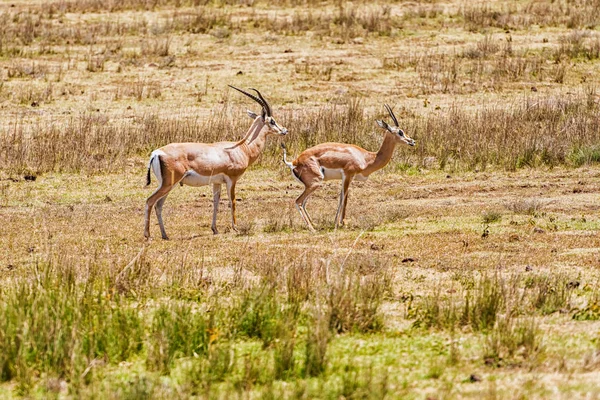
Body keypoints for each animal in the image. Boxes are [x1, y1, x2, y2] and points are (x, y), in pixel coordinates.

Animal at [144, 86, 288, 239]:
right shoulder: (232, 179)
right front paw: (236, 228)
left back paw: (165, 235)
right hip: (169, 184)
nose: (284, 130)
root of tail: (156, 153)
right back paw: (148, 235)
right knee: (150, 201)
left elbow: (216, 203)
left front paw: (215, 229)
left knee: (158, 205)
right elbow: (232, 201)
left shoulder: (217, 182)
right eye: (272, 121)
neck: (242, 148)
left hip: (168, 184)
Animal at [282, 104, 412, 231]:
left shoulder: (347, 178)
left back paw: (314, 224)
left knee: (304, 203)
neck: (367, 157)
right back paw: (312, 228)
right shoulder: (348, 175)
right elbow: (344, 198)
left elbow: (342, 197)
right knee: (298, 201)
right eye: (400, 132)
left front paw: (338, 222)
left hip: (311, 185)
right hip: (315, 183)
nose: (412, 141)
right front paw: (342, 223)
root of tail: (294, 162)